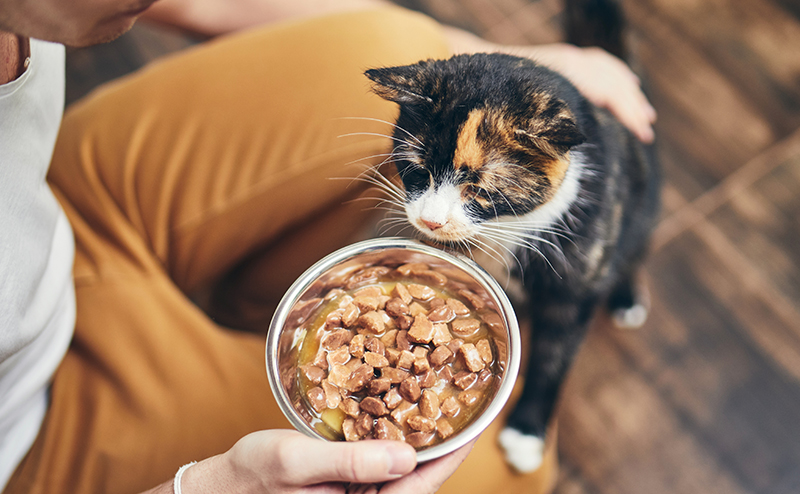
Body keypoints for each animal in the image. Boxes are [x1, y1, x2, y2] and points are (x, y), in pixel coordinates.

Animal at [366, 0, 660, 474]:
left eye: (481, 190)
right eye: (417, 171)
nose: (430, 222)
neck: (504, 231)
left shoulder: (573, 286)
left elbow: (553, 357)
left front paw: (526, 433)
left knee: (634, 250)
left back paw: (627, 296)